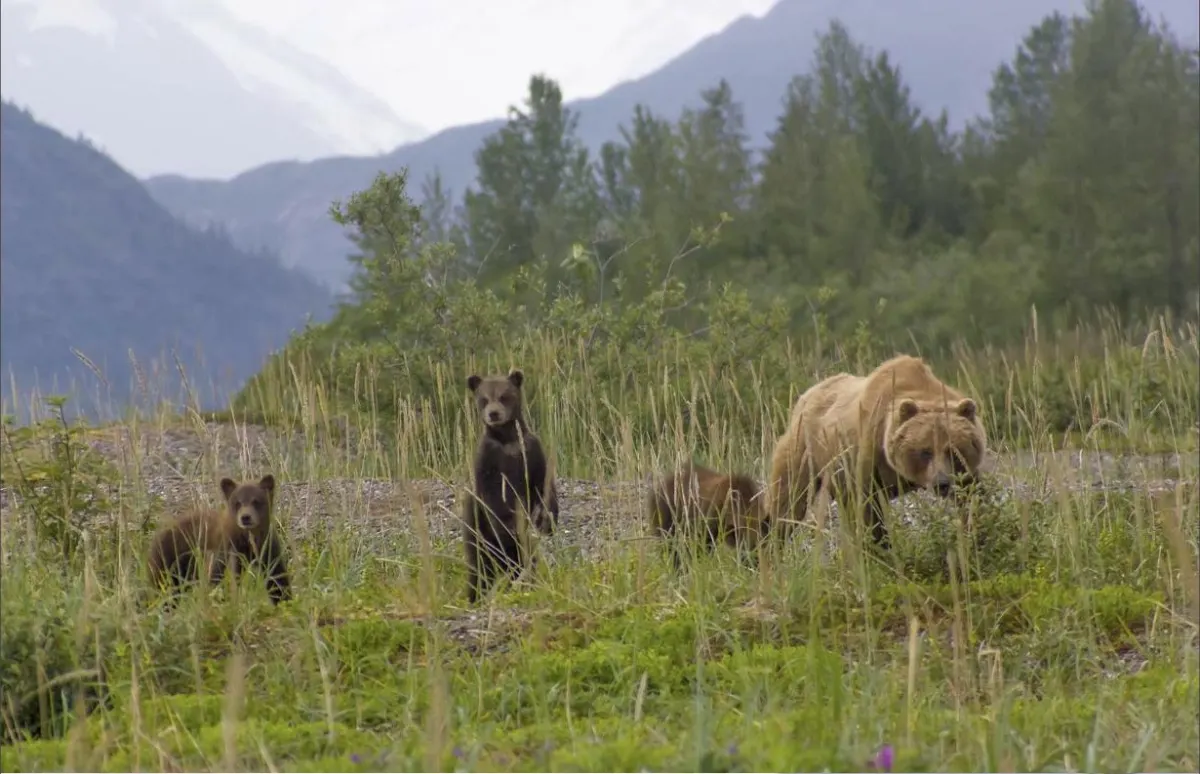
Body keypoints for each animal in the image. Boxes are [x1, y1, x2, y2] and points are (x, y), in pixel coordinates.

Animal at [147, 474, 291, 607]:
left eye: (256, 501)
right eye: (237, 503)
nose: (245, 517)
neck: (249, 540)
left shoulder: (268, 548)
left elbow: (277, 578)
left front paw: (283, 599)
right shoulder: (228, 548)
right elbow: (220, 577)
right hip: (170, 556)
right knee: (164, 585)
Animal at [462, 369, 559, 604]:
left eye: (504, 396)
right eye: (484, 398)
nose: (494, 414)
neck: (508, 440)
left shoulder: (530, 451)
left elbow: (543, 485)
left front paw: (547, 518)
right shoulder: (488, 458)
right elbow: (494, 496)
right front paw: (509, 525)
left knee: (523, 559)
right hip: (476, 527)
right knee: (479, 564)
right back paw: (476, 595)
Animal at [766, 354, 986, 550]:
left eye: (953, 450)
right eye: (925, 451)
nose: (942, 483)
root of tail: (806, 395)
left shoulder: (964, 473)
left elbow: (972, 497)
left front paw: (976, 533)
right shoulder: (868, 454)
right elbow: (867, 509)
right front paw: (878, 547)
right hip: (805, 451)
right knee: (788, 503)